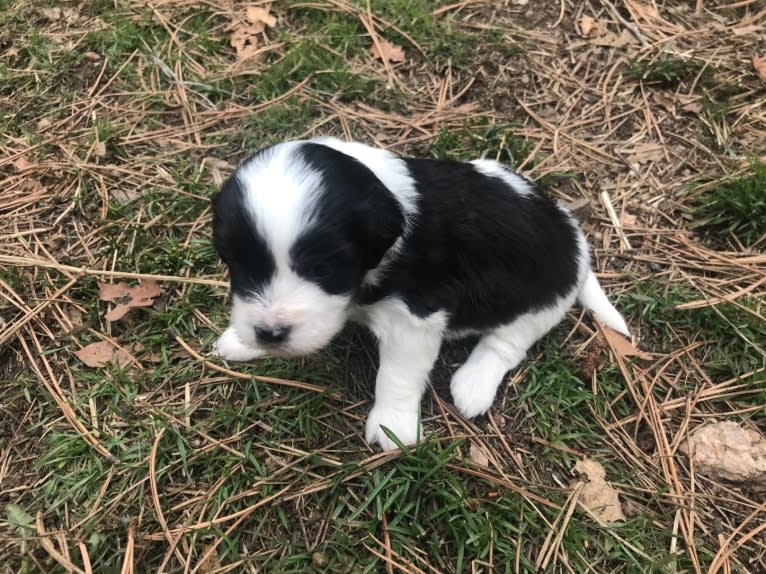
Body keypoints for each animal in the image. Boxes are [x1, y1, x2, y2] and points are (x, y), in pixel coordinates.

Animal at [210, 137, 632, 452]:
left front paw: (392, 427)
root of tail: (570, 229)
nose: (270, 334)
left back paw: (473, 384)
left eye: (323, 269)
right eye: (238, 264)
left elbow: (396, 375)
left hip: (539, 298)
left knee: (508, 343)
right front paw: (244, 343)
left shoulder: (414, 319)